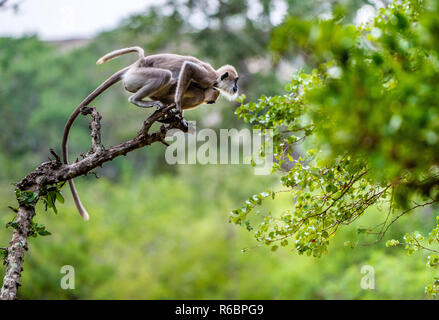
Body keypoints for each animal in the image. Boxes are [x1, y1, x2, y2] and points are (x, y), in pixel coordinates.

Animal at [62, 46, 237, 220]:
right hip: (138, 78)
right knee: (167, 77)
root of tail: (135, 66)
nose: (236, 88)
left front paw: (175, 115)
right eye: (235, 81)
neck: (215, 76)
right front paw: (177, 107)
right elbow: (188, 69)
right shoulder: (208, 78)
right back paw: (138, 100)